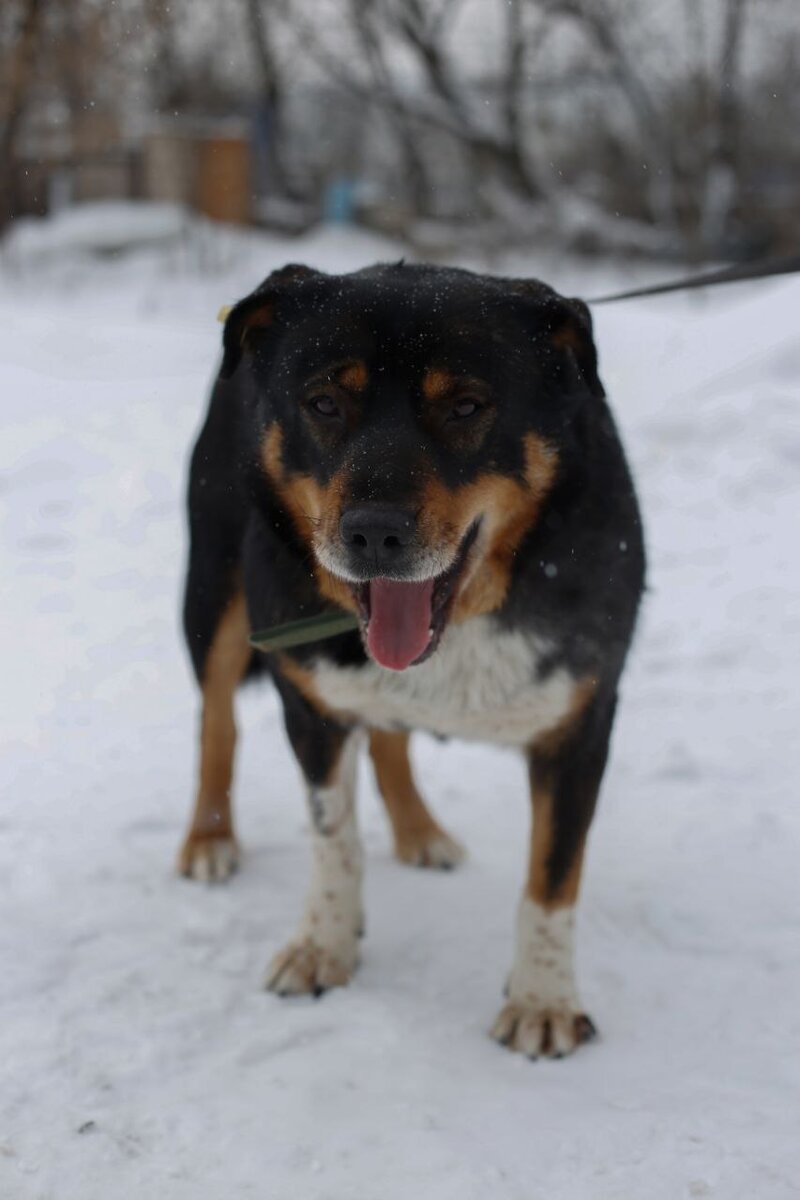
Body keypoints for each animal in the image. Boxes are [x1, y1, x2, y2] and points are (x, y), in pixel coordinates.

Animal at [176, 262, 642, 1060]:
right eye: (324, 402)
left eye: (466, 405)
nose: (373, 534)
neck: (467, 617)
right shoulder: (311, 703)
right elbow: (333, 837)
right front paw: (323, 946)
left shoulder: (579, 724)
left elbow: (552, 879)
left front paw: (543, 999)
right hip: (212, 589)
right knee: (216, 719)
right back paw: (210, 836)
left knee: (387, 732)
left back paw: (420, 829)